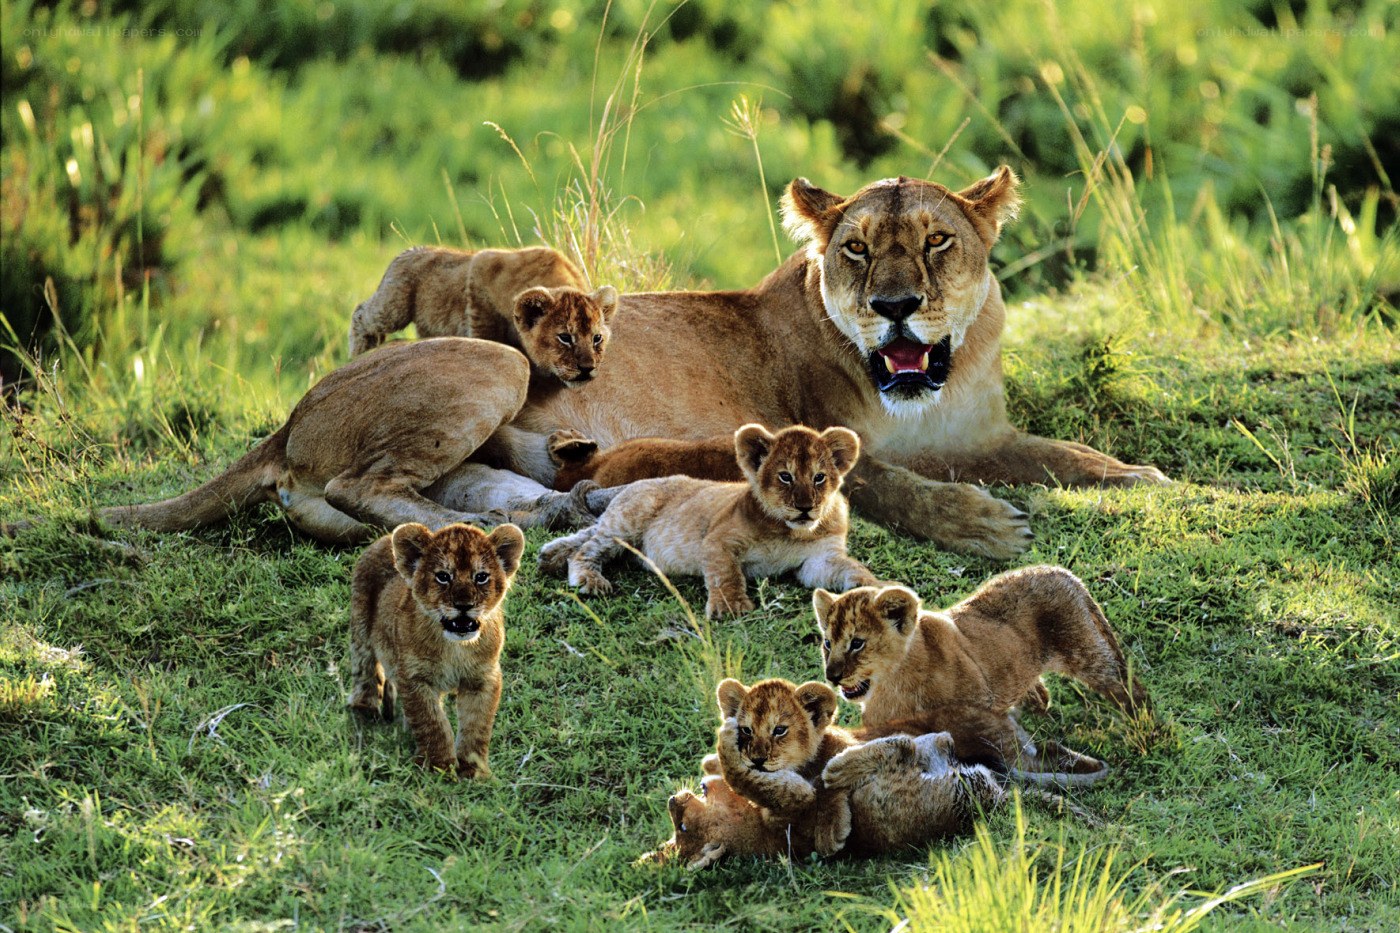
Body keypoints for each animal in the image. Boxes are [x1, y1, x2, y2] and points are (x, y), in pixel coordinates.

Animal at [347, 521, 523, 777]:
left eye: (481, 577)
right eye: (443, 577)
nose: (464, 605)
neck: (455, 648)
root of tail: (386, 537)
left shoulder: (483, 678)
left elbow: (477, 725)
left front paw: (473, 770)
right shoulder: (414, 677)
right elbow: (431, 722)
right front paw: (438, 767)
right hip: (360, 626)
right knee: (364, 668)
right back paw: (364, 709)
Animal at [349, 246, 618, 387]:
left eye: (596, 338)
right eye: (565, 337)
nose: (587, 368)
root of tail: (406, 252)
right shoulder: (480, 282)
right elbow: (488, 344)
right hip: (394, 305)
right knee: (361, 314)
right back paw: (358, 355)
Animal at [536, 423, 877, 618]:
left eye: (820, 478)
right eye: (785, 476)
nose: (805, 507)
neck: (792, 532)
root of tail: (634, 486)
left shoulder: (816, 560)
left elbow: (847, 568)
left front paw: (874, 588)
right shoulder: (717, 540)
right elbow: (726, 573)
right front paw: (731, 606)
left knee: (589, 532)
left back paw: (550, 554)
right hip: (629, 521)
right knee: (589, 547)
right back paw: (587, 578)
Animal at [813, 565, 1150, 778]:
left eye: (857, 643)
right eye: (827, 643)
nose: (832, 677)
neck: (893, 685)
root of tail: (1059, 571)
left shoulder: (979, 709)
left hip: (1087, 652)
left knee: (1126, 685)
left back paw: (1145, 727)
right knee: (1039, 693)